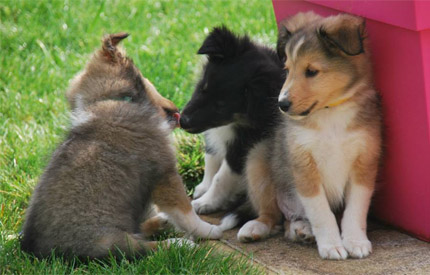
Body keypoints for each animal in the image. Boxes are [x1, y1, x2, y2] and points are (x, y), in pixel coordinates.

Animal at [20, 33, 222, 260]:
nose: (177, 110)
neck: (109, 99)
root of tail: (34, 251)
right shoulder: (165, 173)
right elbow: (186, 210)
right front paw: (211, 230)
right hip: (109, 241)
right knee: (142, 246)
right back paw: (178, 244)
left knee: (139, 229)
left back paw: (162, 222)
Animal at [180, 25, 288, 233]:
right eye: (203, 87)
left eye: (221, 106)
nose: (182, 121)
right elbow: (211, 158)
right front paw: (203, 187)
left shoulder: (243, 146)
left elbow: (222, 177)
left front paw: (206, 202)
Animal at [245, 12, 382, 260]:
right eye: (287, 69)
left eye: (311, 71)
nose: (281, 104)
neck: (331, 114)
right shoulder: (304, 164)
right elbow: (321, 213)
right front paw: (331, 246)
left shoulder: (365, 162)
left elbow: (355, 209)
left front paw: (355, 241)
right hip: (257, 160)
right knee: (273, 216)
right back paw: (257, 228)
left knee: (288, 224)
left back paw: (301, 231)